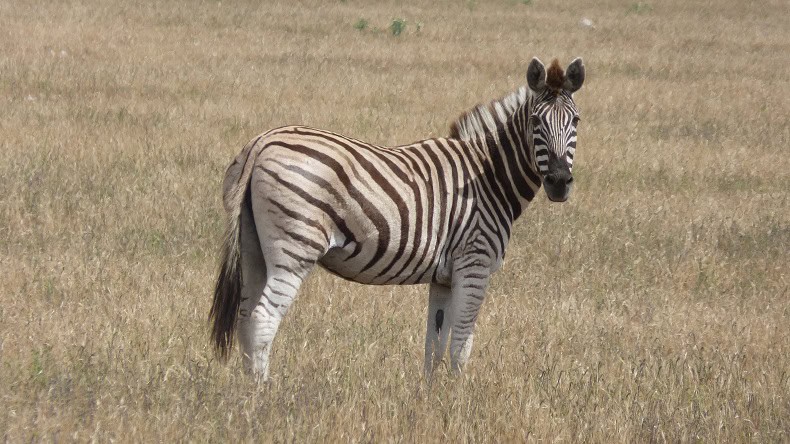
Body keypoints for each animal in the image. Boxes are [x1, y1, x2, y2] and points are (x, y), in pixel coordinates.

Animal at [213, 57, 584, 380]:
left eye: (576, 121)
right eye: (535, 122)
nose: (559, 182)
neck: (488, 176)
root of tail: (262, 142)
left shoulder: (443, 278)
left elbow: (434, 346)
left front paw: (431, 399)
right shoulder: (474, 263)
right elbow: (461, 346)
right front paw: (460, 400)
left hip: (253, 249)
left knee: (245, 318)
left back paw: (244, 392)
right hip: (295, 247)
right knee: (263, 319)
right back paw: (262, 396)